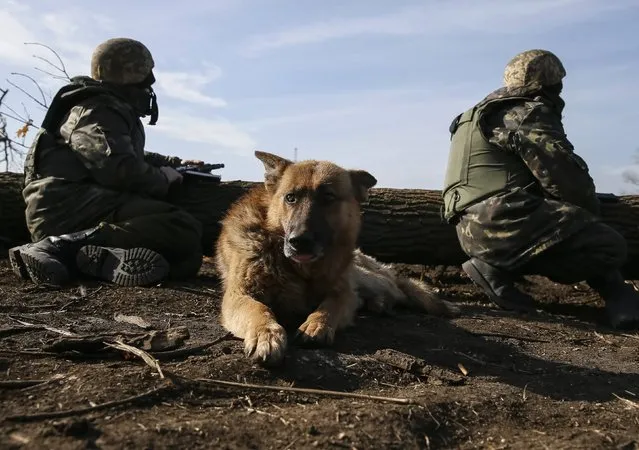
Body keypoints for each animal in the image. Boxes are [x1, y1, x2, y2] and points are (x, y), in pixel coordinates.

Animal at [216, 151, 460, 366]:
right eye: (290, 198)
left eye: (328, 197)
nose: (298, 241)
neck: (300, 270)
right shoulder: (238, 295)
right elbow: (258, 308)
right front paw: (266, 334)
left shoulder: (341, 291)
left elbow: (330, 305)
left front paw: (316, 325)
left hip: (365, 277)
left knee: (398, 289)